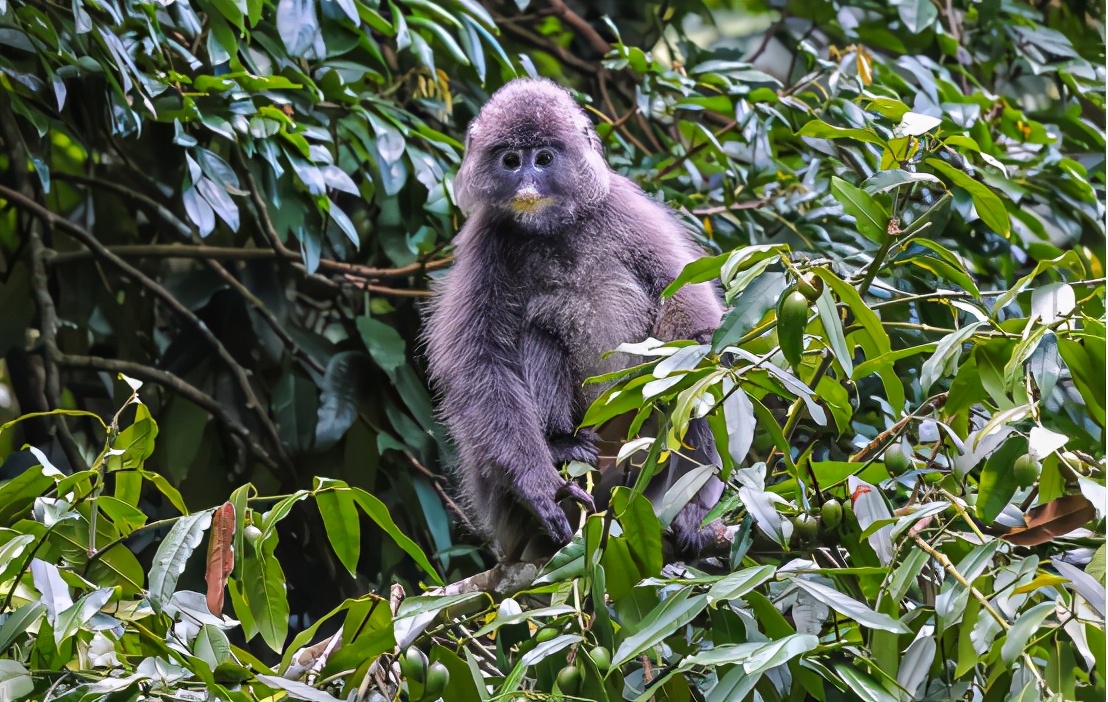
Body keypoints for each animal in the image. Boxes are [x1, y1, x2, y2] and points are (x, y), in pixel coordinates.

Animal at [423, 76, 726, 560]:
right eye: (512, 161)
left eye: (544, 159)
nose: (528, 183)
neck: (552, 230)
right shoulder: (485, 240)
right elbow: (479, 361)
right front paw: (540, 487)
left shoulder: (622, 208)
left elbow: (687, 301)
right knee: (534, 335)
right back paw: (563, 447)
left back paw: (693, 510)